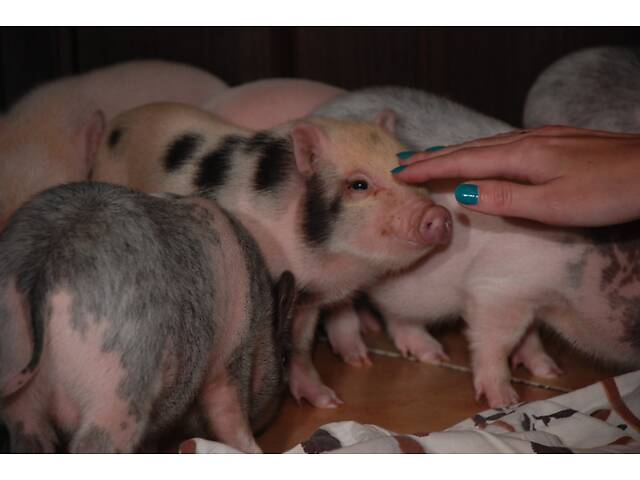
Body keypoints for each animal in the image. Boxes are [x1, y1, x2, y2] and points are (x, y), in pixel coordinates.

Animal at [0, 181, 296, 453]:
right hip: (119, 381)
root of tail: (43, 259)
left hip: (20, 387)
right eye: (284, 359)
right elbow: (229, 413)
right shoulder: (230, 355)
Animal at [91, 102, 452, 408]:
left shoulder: (312, 296)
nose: (438, 214)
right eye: (359, 185)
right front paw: (326, 402)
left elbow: (302, 347)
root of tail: (113, 125)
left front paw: (331, 400)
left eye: (407, 168)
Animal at [315, 87, 640, 408]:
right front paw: (504, 402)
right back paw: (366, 358)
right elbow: (496, 338)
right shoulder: (498, 286)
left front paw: (550, 372)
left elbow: (530, 336)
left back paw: (427, 352)